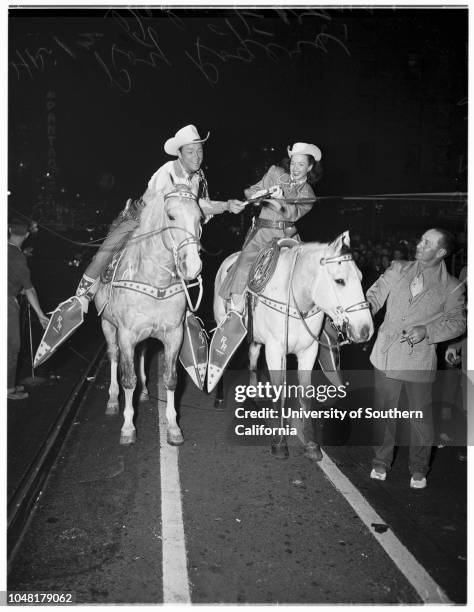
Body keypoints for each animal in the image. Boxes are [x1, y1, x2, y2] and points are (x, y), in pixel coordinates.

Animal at [94, 185, 202, 444]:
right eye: (171, 216)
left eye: (200, 218)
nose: (193, 267)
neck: (155, 281)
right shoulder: (126, 335)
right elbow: (128, 379)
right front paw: (128, 427)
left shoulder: (174, 335)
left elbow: (171, 379)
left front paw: (174, 427)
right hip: (108, 326)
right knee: (114, 357)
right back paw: (112, 400)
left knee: (142, 354)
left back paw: (143, 392)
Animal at [215, 230, 374, 460]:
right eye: (340, 280)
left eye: (361, 278)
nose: (365, 330)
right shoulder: (275, 351)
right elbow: (279, 392)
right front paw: (279, 442)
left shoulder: (308, 351)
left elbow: (305, 394)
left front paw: (311, 444)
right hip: (222, 322)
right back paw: (219, 399)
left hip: (256, 339)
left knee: (253, 358)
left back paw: (254, 394)